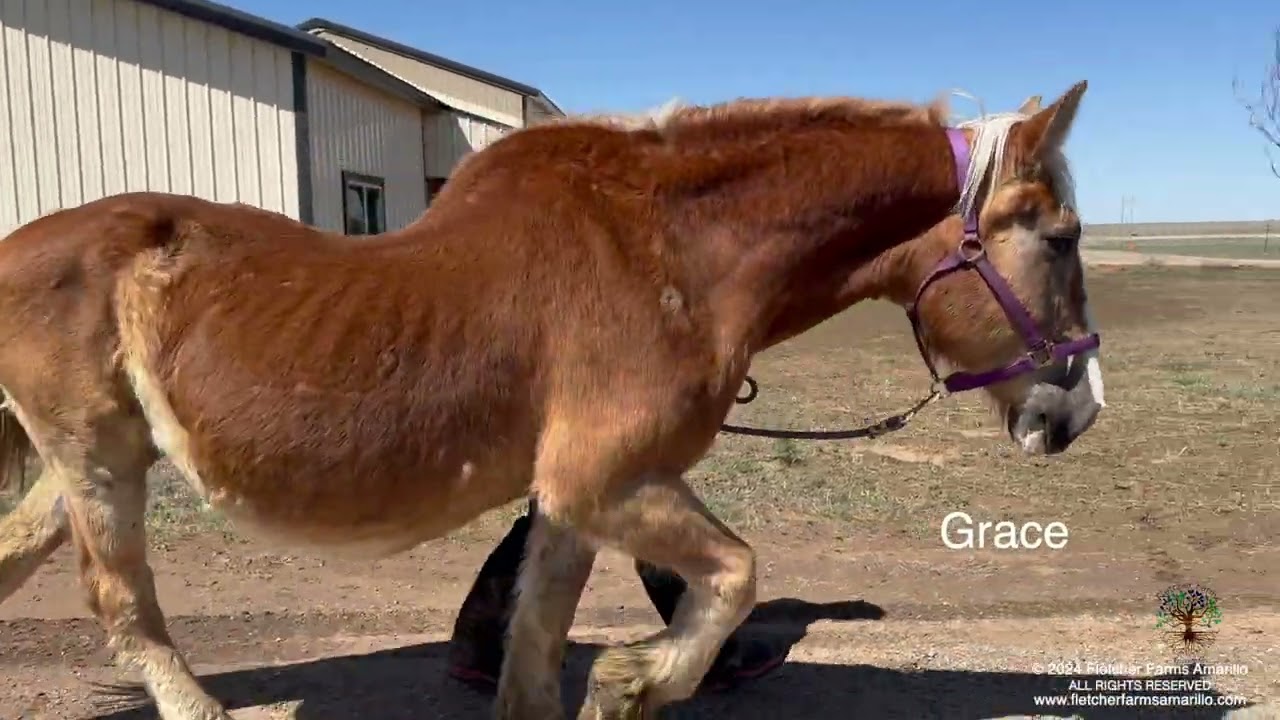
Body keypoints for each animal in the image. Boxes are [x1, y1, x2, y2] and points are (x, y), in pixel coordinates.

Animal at [0, 81, 1100, 720]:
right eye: (1060, 238)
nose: (1074, 413)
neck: (670, 251)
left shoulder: (573, 503)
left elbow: (534, 648)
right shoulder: (601, 480)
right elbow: (735, 575)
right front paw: (632, 680)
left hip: (88, 464)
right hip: (97, 464)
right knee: (125, 607)